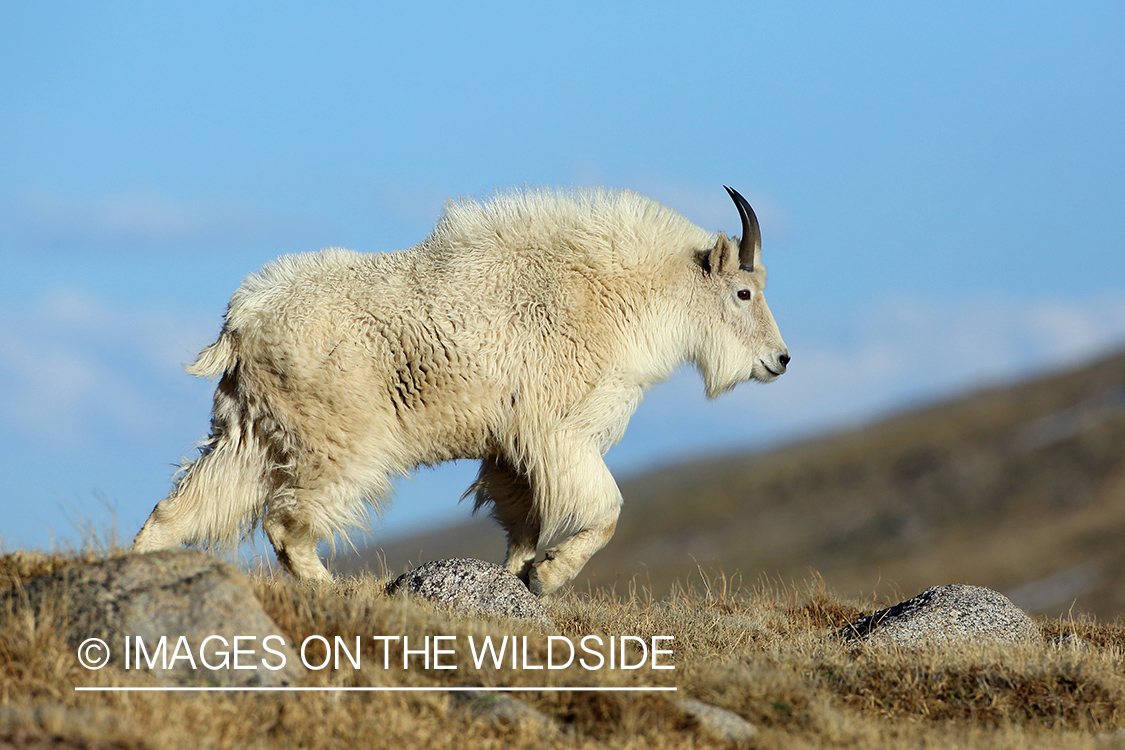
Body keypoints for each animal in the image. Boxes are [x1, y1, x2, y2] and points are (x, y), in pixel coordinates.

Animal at [133, 186, 792, 593]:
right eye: (743, 292)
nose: (780, 360)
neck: (613, 293)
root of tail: (241, 323)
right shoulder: (557, 431)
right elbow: (606, 509)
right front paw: (548, 577)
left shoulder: (510, 449)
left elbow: (523, 521)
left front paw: (519, 577)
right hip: (339, 438)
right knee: (287, 524)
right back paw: (340, 591)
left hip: (251, 430)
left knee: (185, 505)